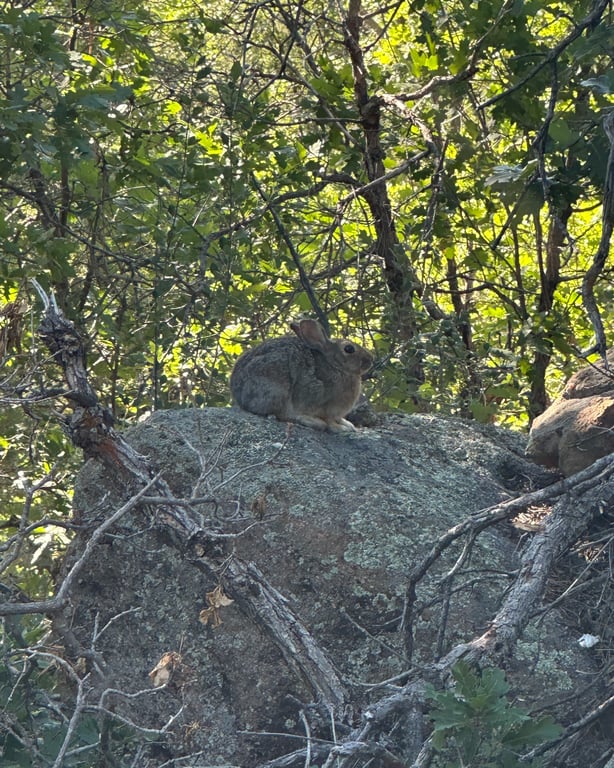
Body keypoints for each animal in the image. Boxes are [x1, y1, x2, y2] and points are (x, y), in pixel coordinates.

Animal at [230, 318, 373, 432]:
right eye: (349, 349)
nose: (371, 359)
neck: (335, 365)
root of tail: (239, 396)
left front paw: (348, 425)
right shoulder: (327, 407)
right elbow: (330, 421)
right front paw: (340, 428)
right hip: (276, 387)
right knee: (284, 414)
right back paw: (313, 422)